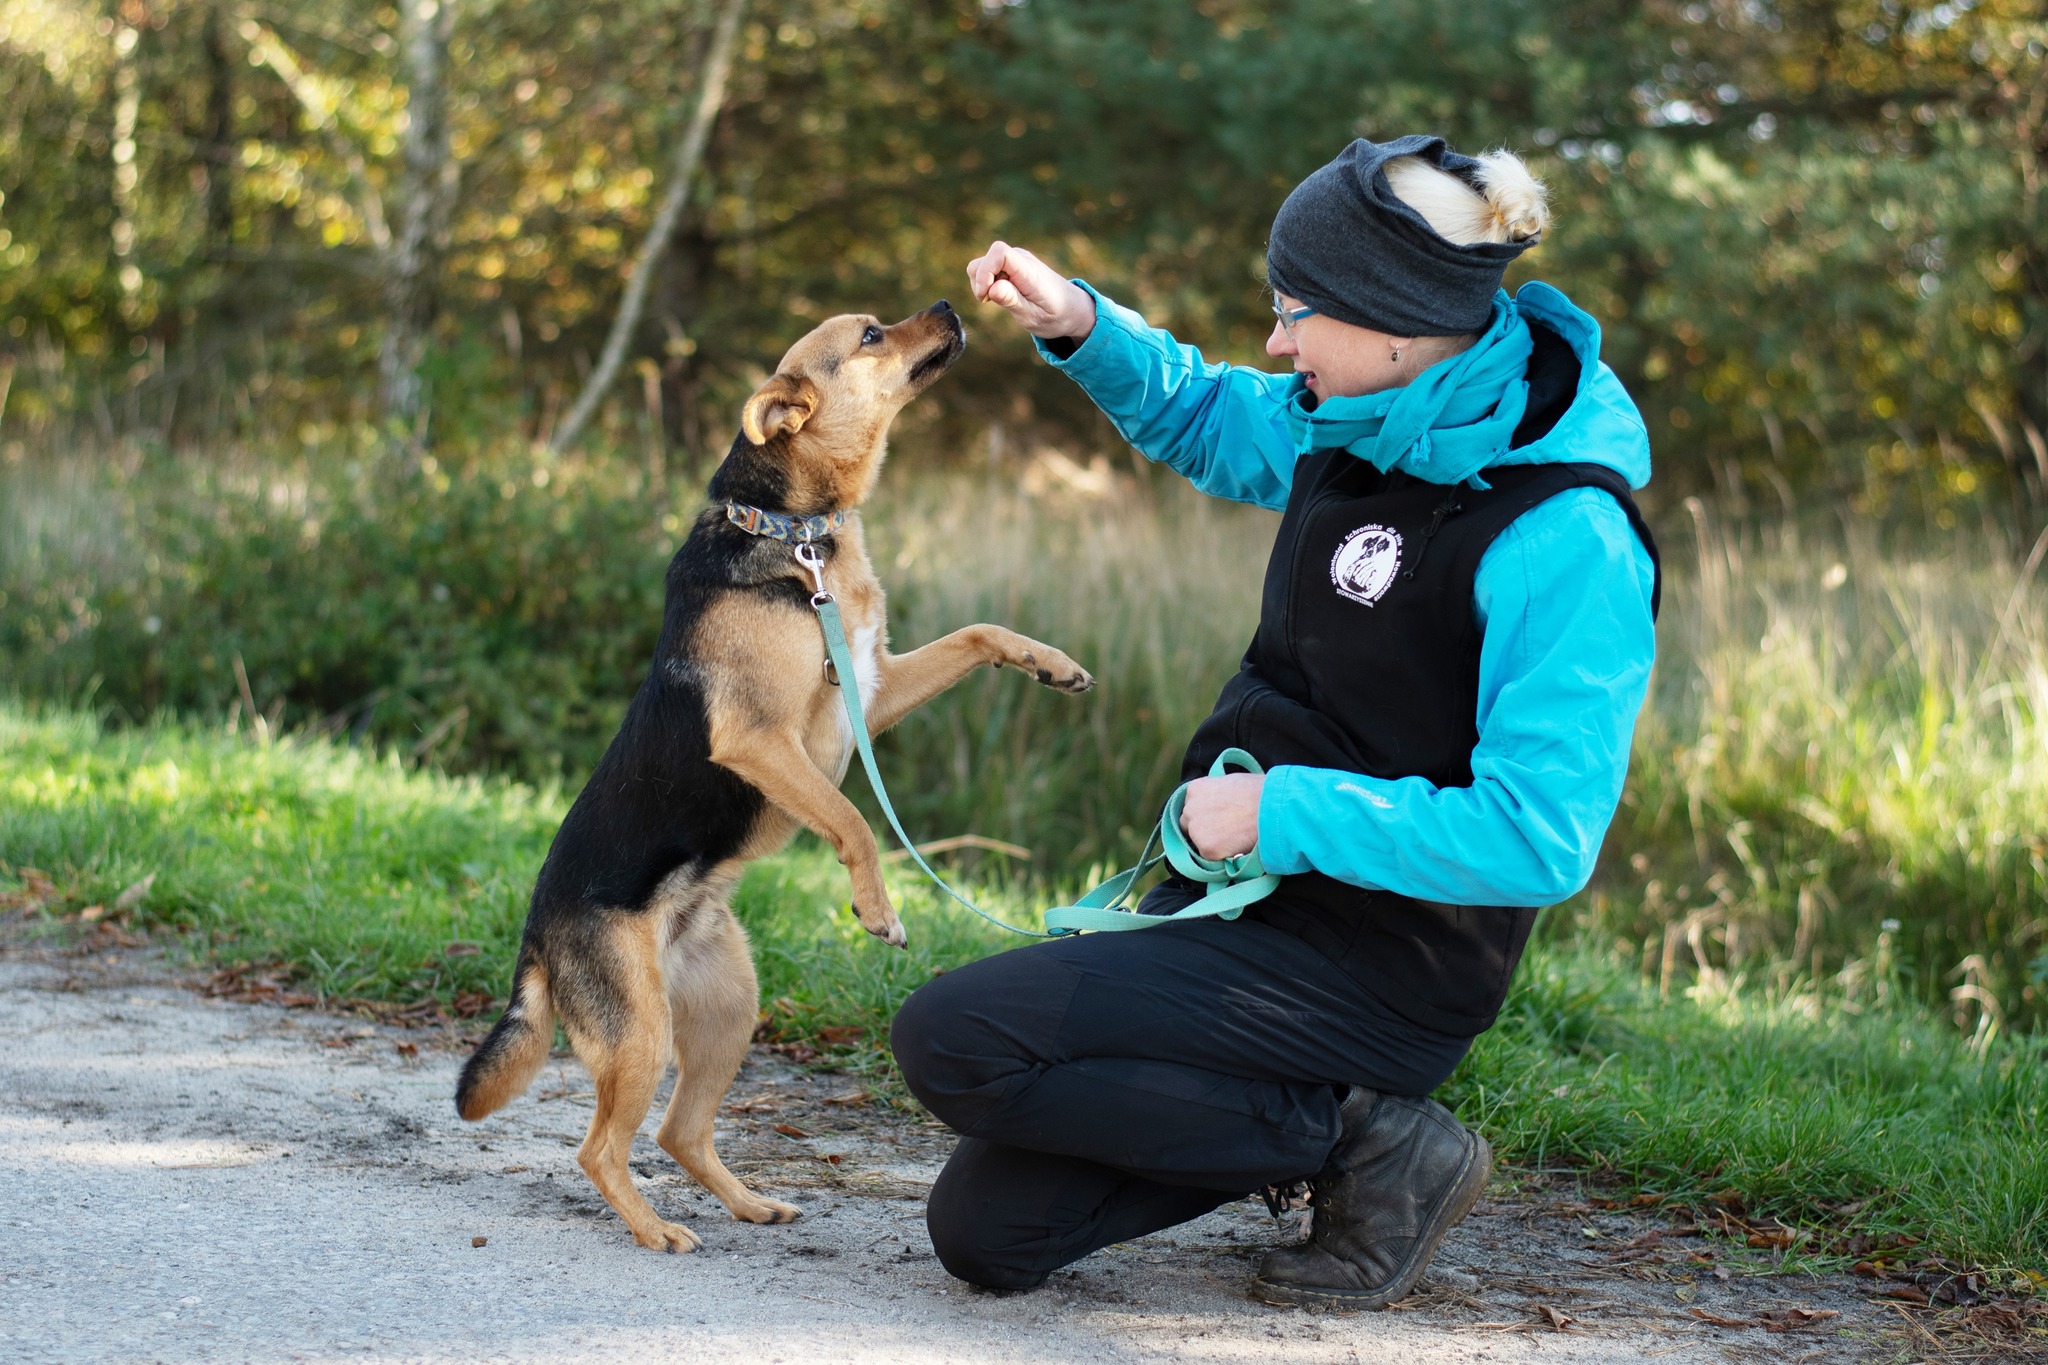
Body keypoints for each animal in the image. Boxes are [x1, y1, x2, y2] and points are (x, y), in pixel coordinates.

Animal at [456, 304, 1097, 1252]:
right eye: (870, 335)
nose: (951, 307)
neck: (796, 533)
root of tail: (536, 938)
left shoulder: (873, 685)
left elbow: (978, 632)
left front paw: (1050, 662)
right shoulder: (762, 741)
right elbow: (854, 820)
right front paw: (877, 908)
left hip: (727, 1006)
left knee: (679, 1130)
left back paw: (750, 1201)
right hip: (641, 1032)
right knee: (601, 1146)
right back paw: (656, 1229)